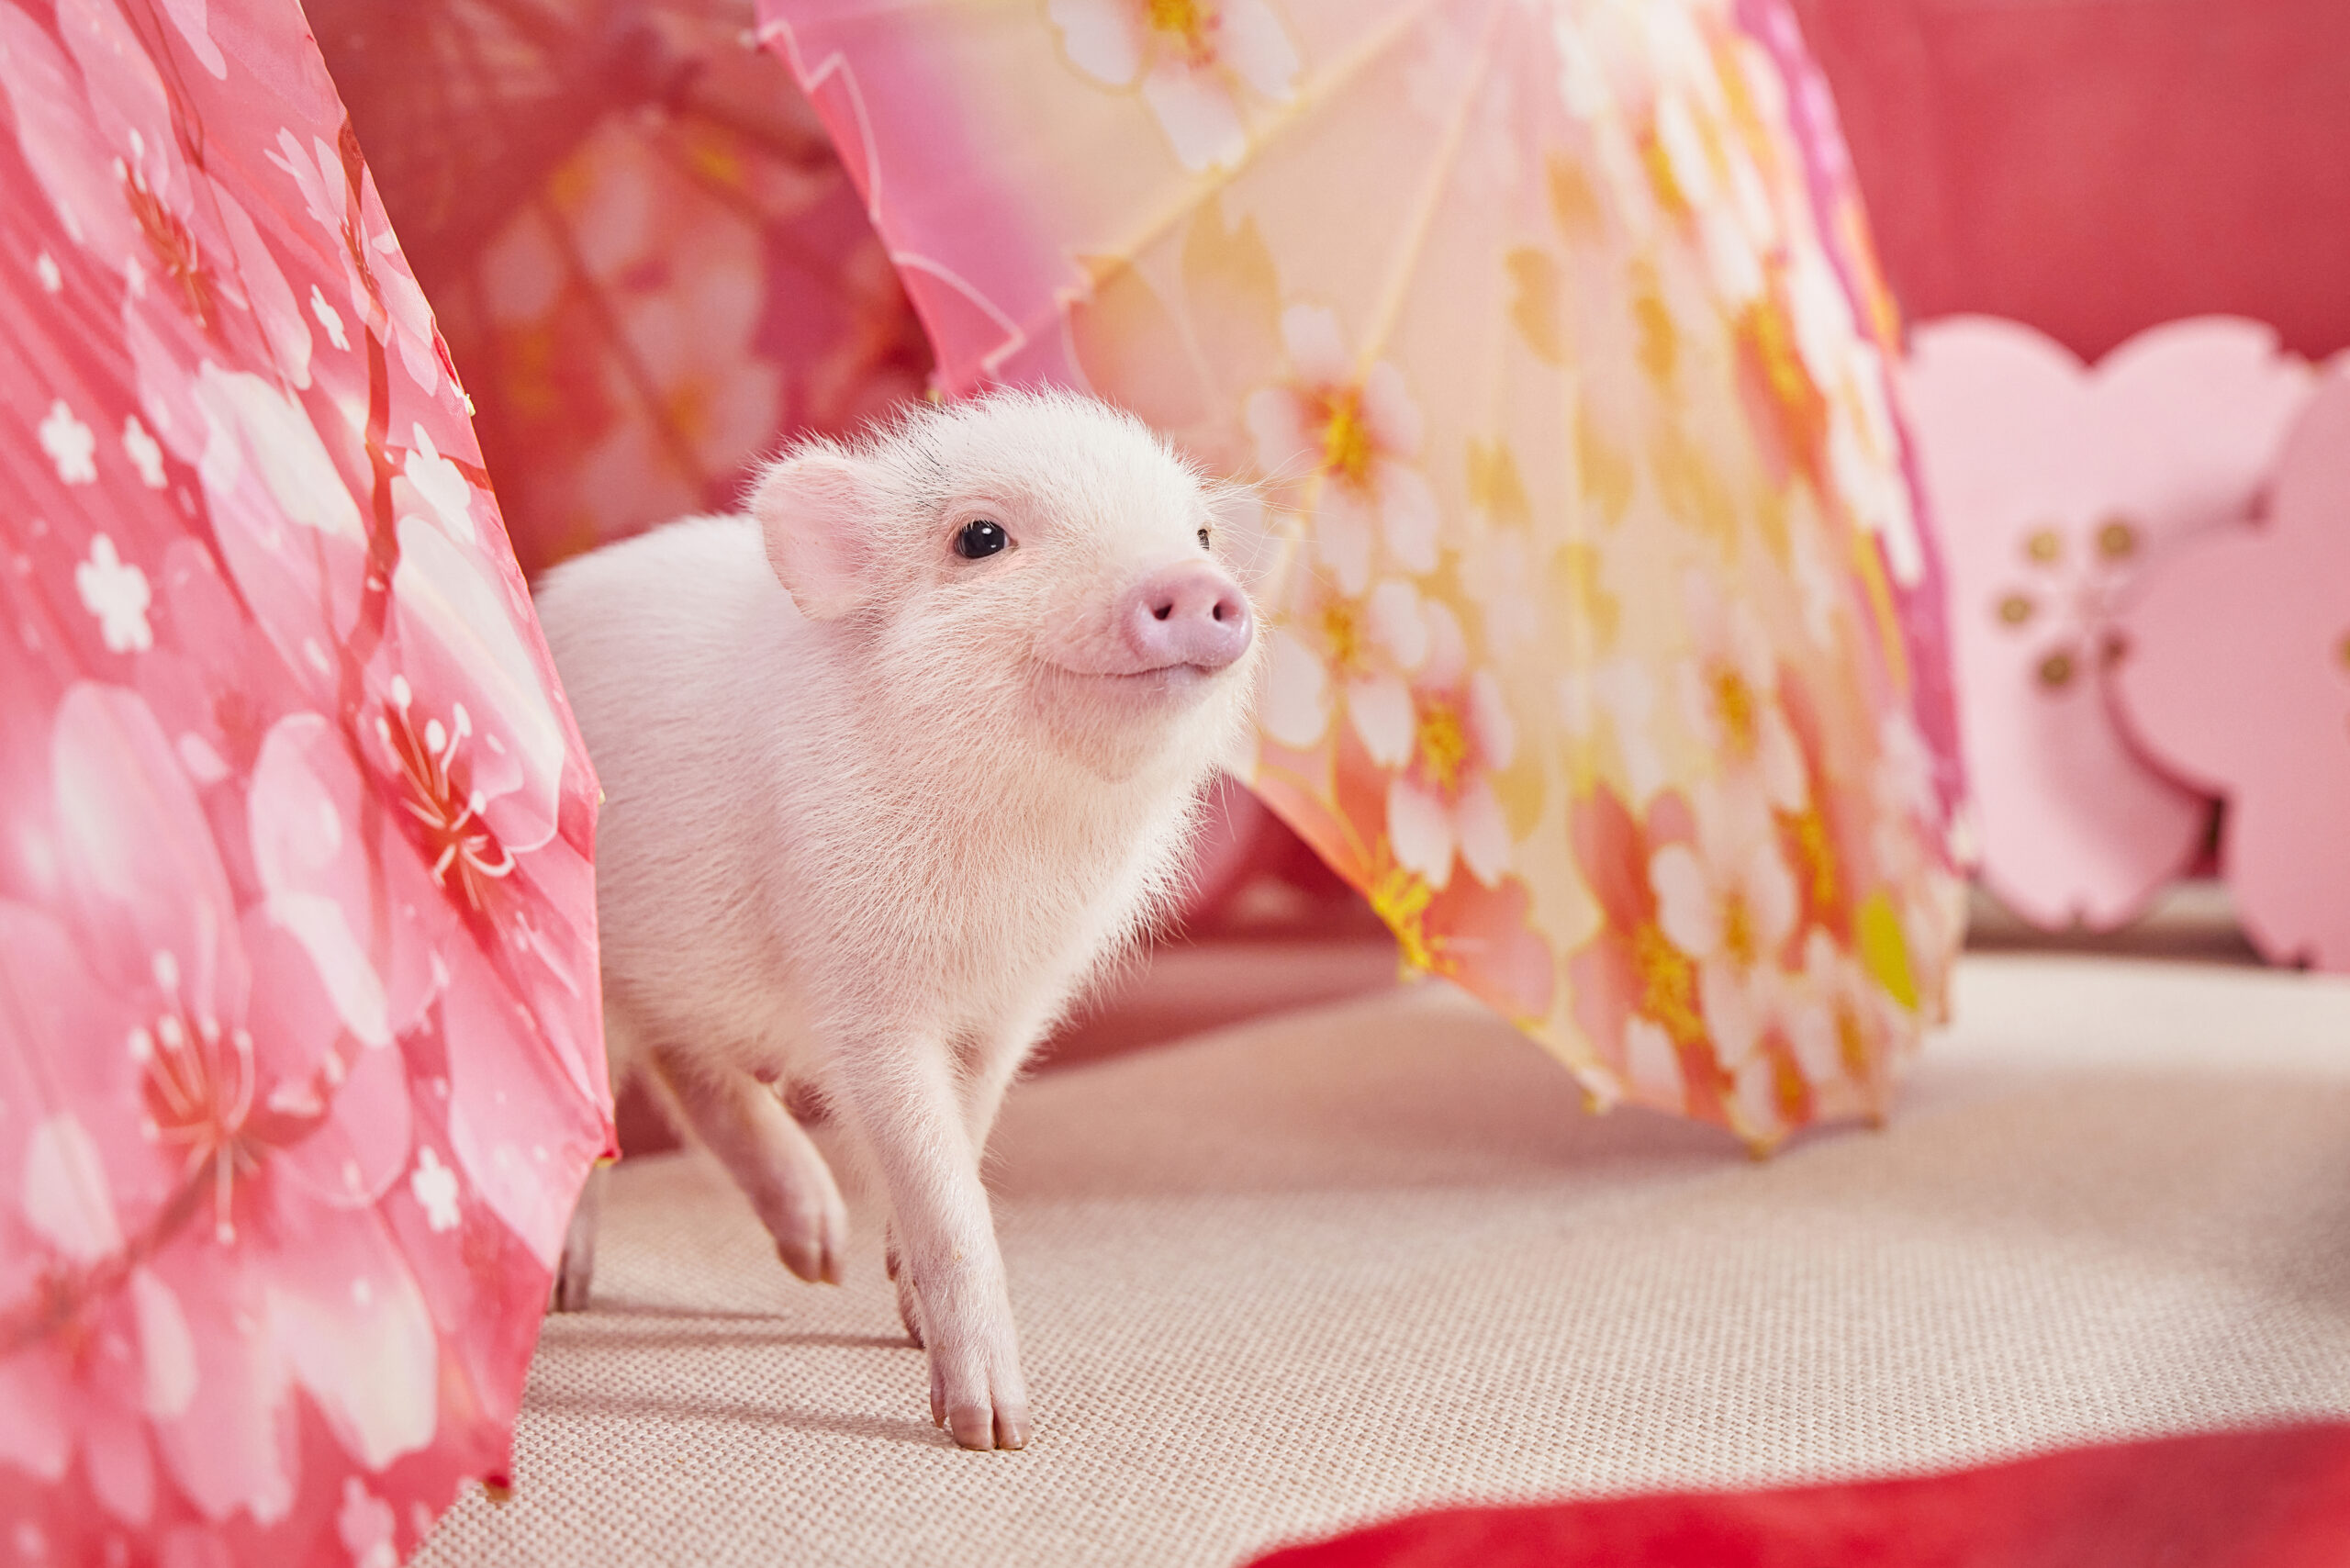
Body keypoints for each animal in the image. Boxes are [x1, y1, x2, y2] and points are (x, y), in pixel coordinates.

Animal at [532, 389, 1261, 1450]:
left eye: (1200, 534)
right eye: (981, 538)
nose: (1196, 584)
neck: (1009, 854)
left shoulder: (1021, 996)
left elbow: (969, 1123)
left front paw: (899, 1307)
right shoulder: (861, 986)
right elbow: (936, 1173)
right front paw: (992, 1432)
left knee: (685, 1067)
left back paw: (815, 1256)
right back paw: (567, 1295)